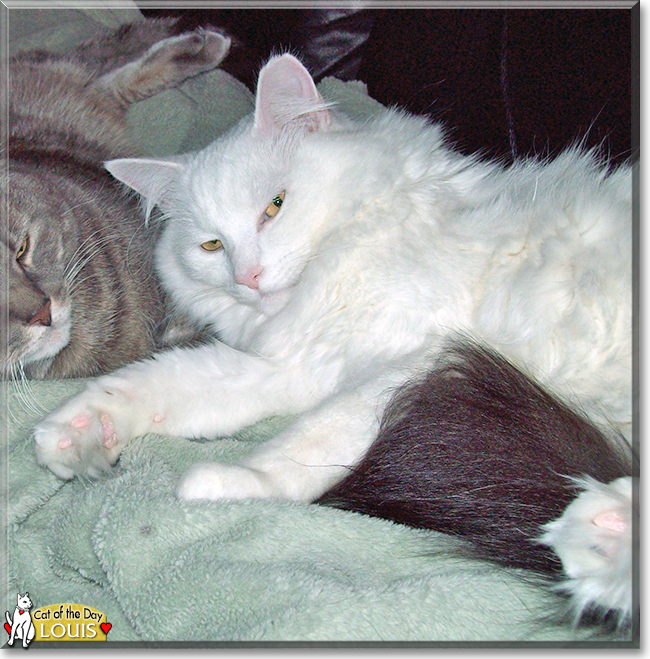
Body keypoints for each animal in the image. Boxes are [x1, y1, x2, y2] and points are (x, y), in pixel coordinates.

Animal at [33, 54, 632, 620]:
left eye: (274, 207)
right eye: (211, 246)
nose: (248, 277)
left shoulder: (419, 358)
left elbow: (309, 441)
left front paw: (228, 482)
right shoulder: (289, 367)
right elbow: (157, 384)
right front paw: (75, 431)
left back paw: (597, 531)